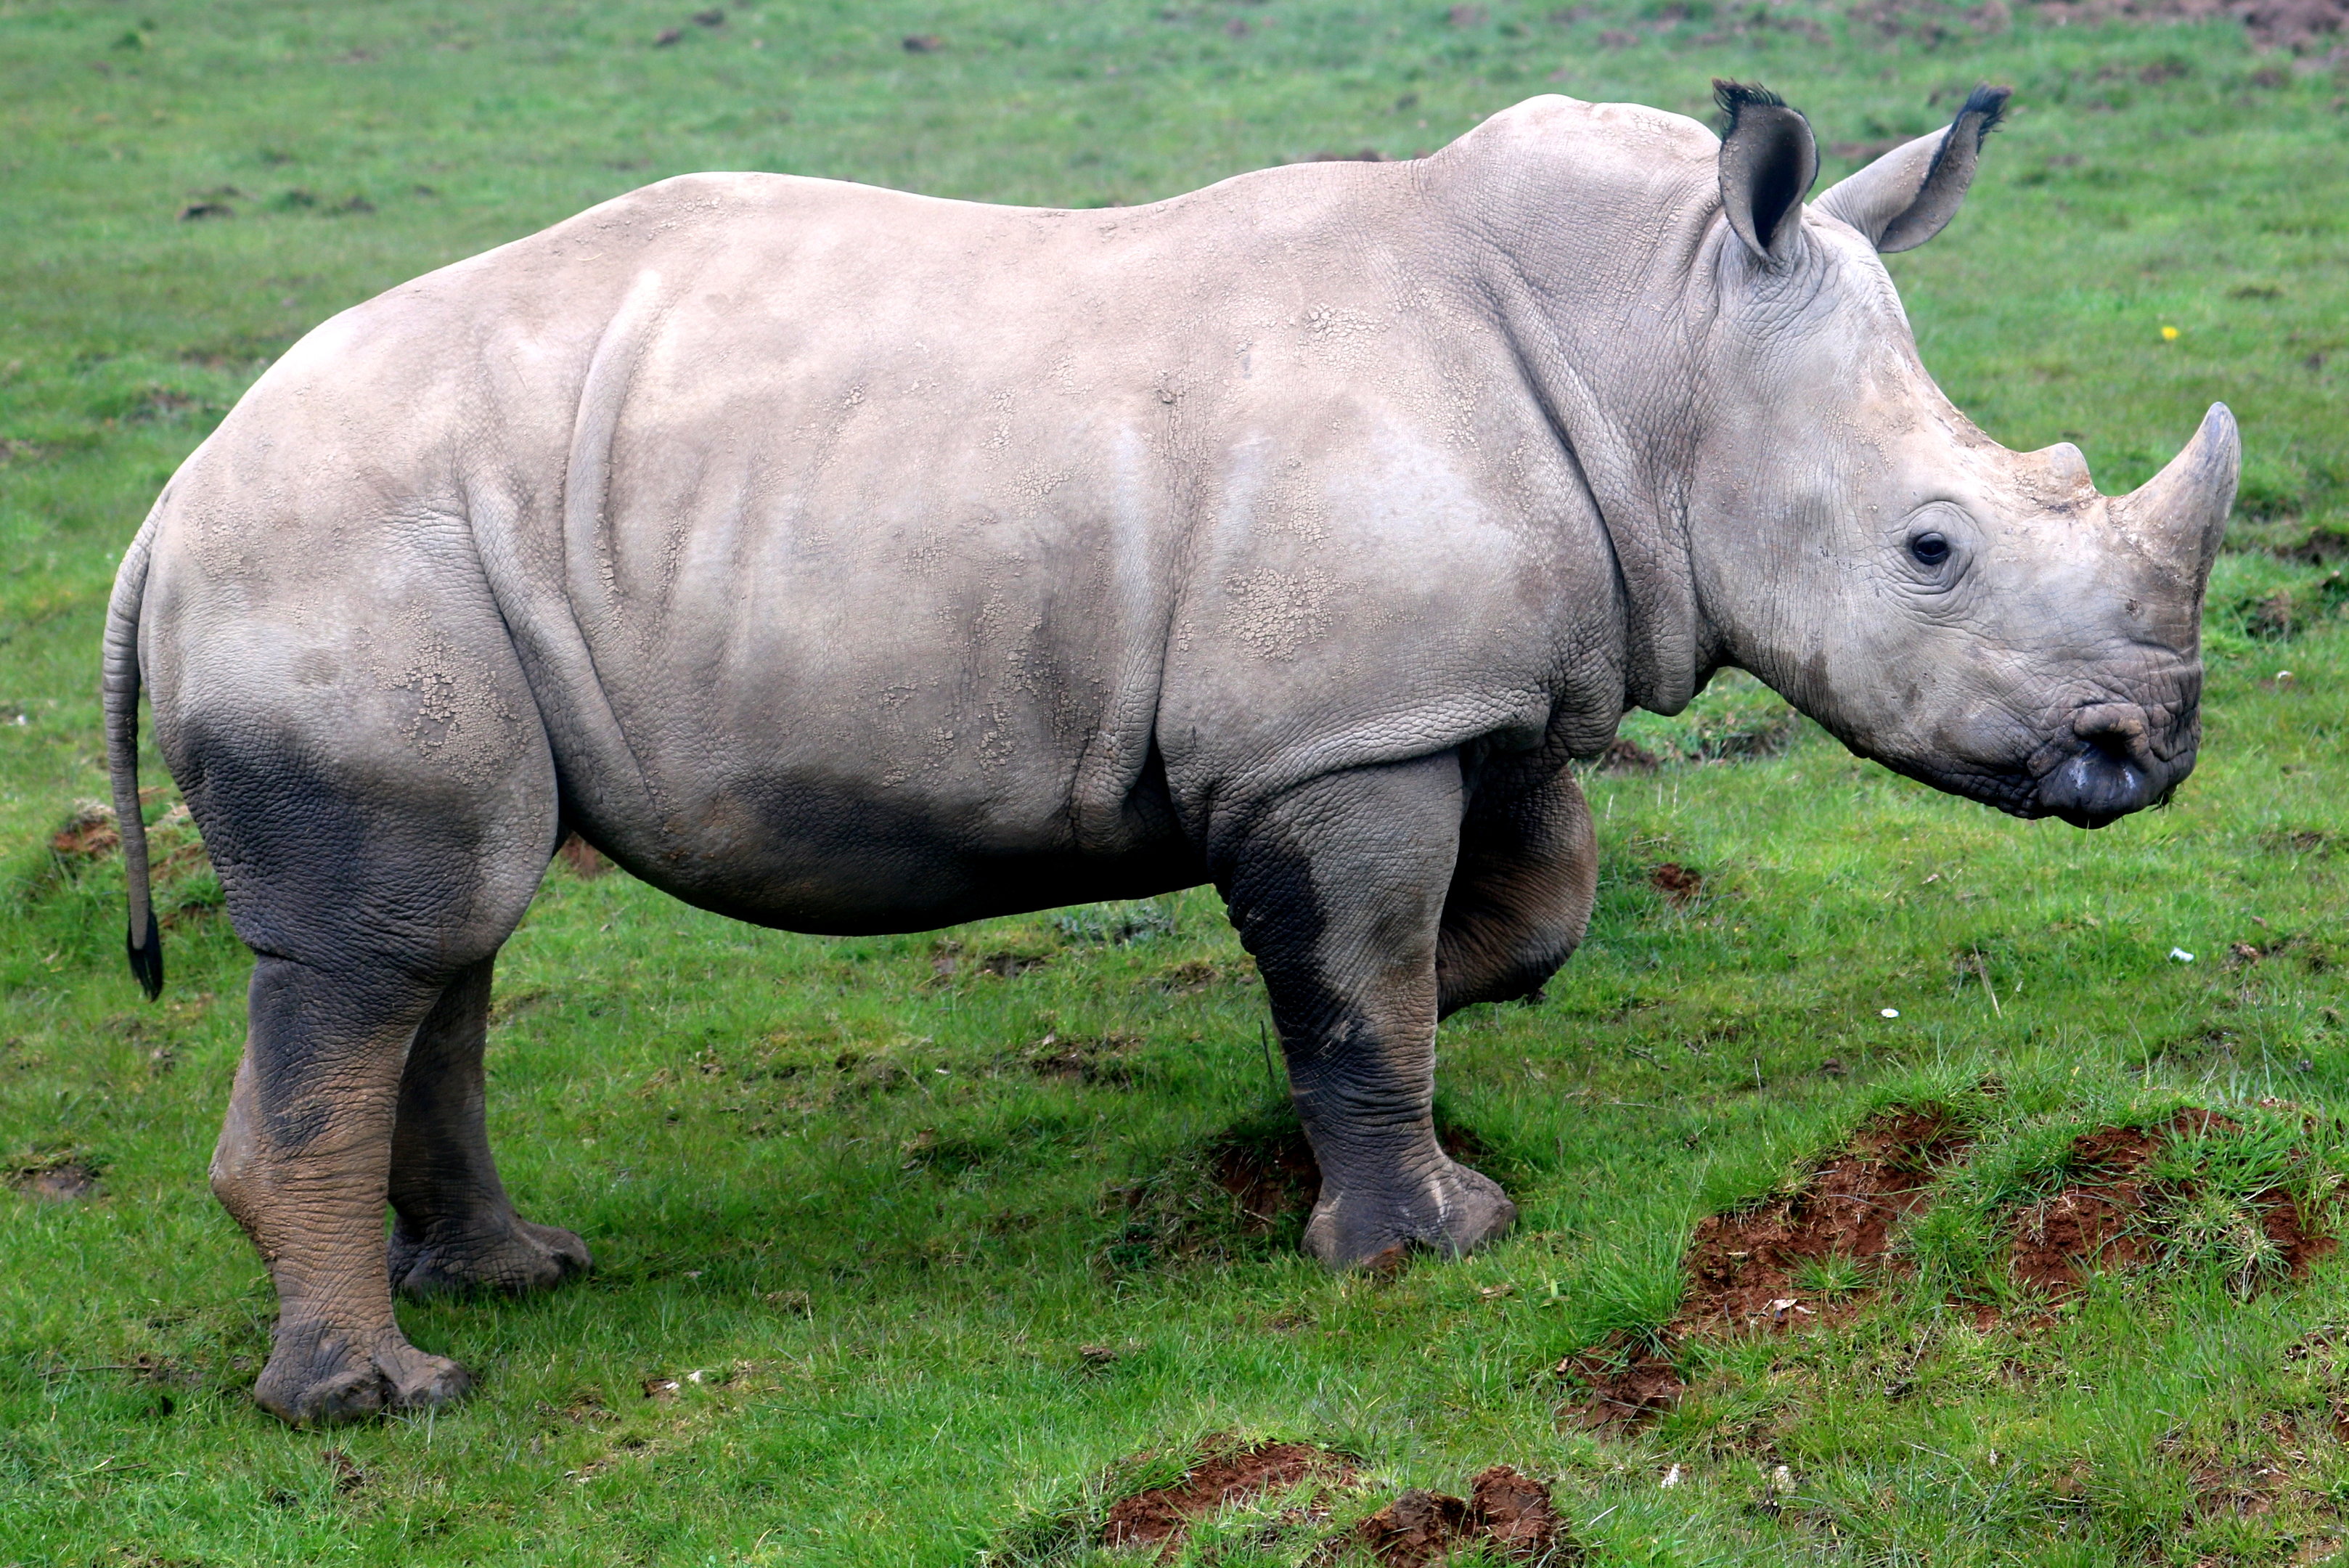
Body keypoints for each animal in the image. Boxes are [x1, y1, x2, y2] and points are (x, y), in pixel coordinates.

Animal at [102, 82, 2237, 1424]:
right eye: (1933, 549)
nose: (2146, 748)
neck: (1657, 346)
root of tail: (168, 503)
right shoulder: (1340, 737)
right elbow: (1362, 977)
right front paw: (1421, 1241)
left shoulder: (1452, 689)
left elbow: (1514, 909)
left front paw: (1339, 1062)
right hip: (337, 548)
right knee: (384, 945)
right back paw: (388, 1398)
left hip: (410, 558)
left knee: (442, 932)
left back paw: (513, 1273)